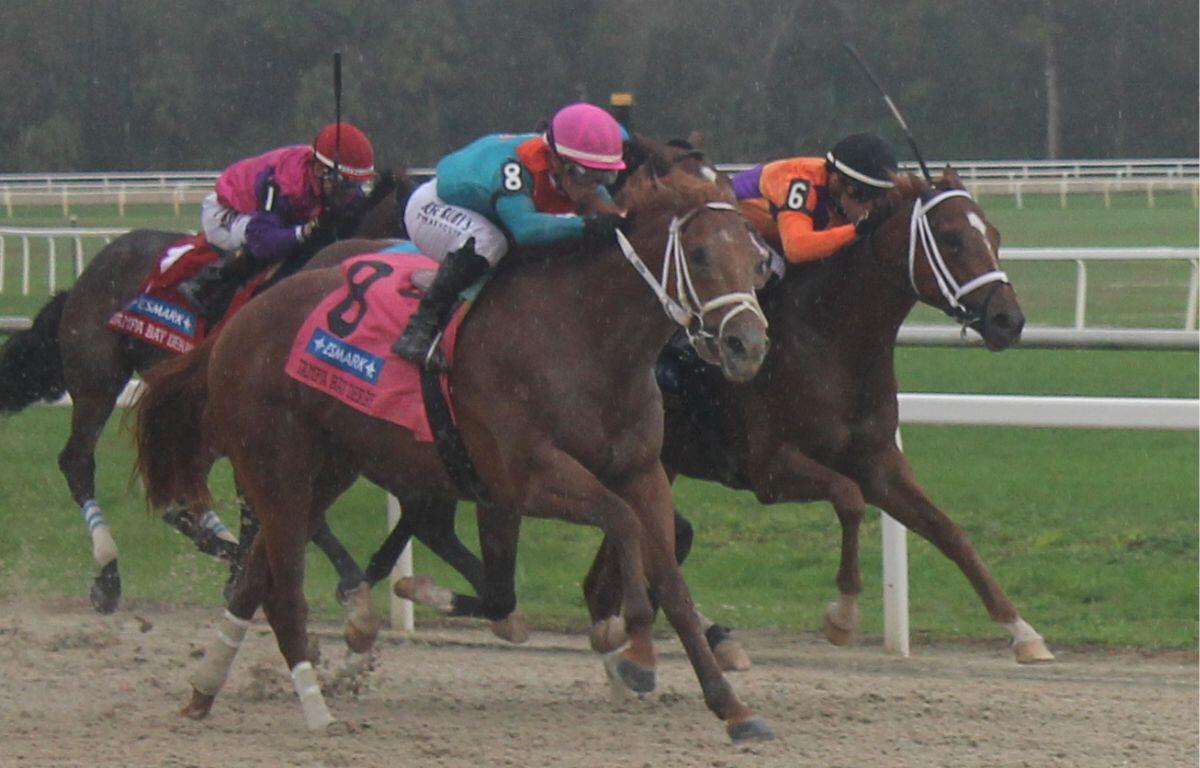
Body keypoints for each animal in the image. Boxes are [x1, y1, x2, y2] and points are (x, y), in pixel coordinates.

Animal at [0, 173, 411, 614]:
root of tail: (88, 272)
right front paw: (346, 578)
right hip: (98, 378)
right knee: (79, 462)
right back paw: (110, 573)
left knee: (183, 485)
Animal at [133, 138, 778, 742]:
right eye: (699, 254)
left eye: (755, 257)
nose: (748, 344)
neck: (582, 336)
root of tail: (235, 326)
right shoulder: (523, 477)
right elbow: (619, 524)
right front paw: (634, 645)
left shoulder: (640, 470)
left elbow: (671, 580)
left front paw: (732, 708)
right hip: (276, 466)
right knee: (284, 587)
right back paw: (317, 707)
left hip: (326, 471)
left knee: (253, 580)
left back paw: (204, 691)